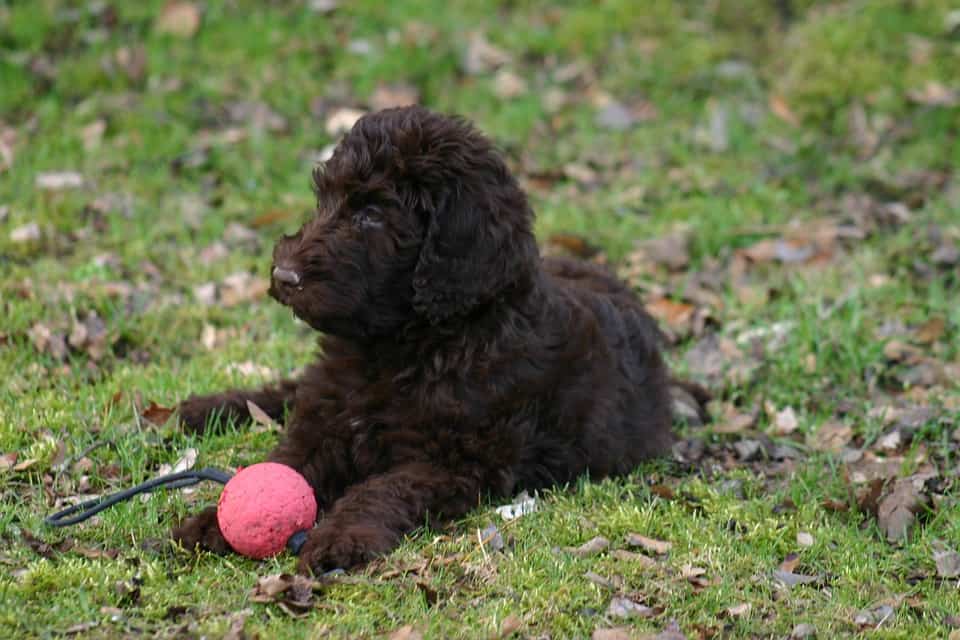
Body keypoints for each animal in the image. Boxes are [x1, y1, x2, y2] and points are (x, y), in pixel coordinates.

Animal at [174, 106, 696, 576]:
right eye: (324, 200)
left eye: (371, 214)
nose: (283, 275)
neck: (405, 346)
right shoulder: (326, 424)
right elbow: (284, 467)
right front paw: (214, 522)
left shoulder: (454, 462)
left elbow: (381, 489)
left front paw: (341, 537)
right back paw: (199, 409)